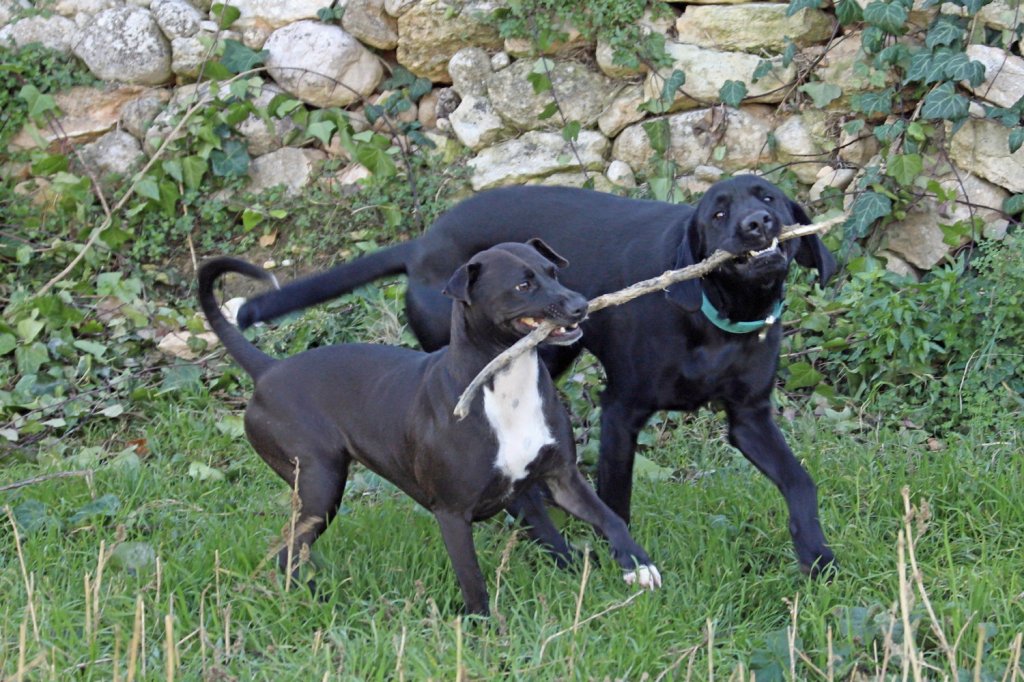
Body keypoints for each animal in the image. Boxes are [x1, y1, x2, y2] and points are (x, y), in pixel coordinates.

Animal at [199, 241, 661, 616]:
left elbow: (610, 518)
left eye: (553, 272)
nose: (581, 304)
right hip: (320, 485)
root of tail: (267, 370)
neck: (504, 386)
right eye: (522, 286)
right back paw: (318, 600)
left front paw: (638, 564)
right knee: (288, 553)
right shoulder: (452, 514)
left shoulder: (561, 477)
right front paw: (483, 635)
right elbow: (472, 582)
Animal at [238, 175, 839, 576]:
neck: (720, 321)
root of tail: (423, 243)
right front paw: (626, 561)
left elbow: (800, 483)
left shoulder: (749, 418)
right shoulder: (621, 412)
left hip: (552, 358)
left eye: (768, 197)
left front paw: (817, 556)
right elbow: (615, 498)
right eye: (717, 214)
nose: (757, 225)